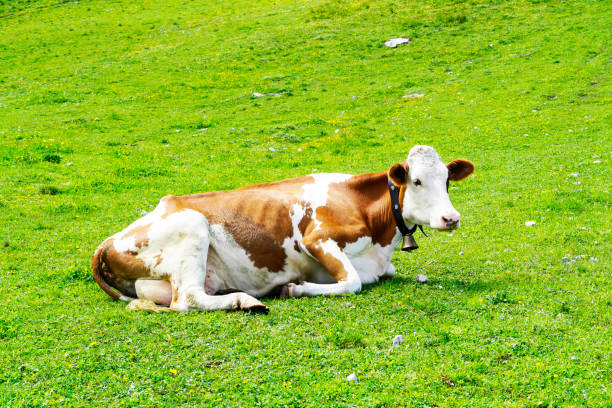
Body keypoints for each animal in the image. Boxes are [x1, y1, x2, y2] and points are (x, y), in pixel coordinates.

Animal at [91, 146, 474, 312]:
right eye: (417, 180)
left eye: (447, 181)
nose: (451, 218)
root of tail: (110, 239)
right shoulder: (316, 238)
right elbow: (351, 283)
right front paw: (293, 289)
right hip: (193, 226)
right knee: (188, 299)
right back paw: (246, 300)